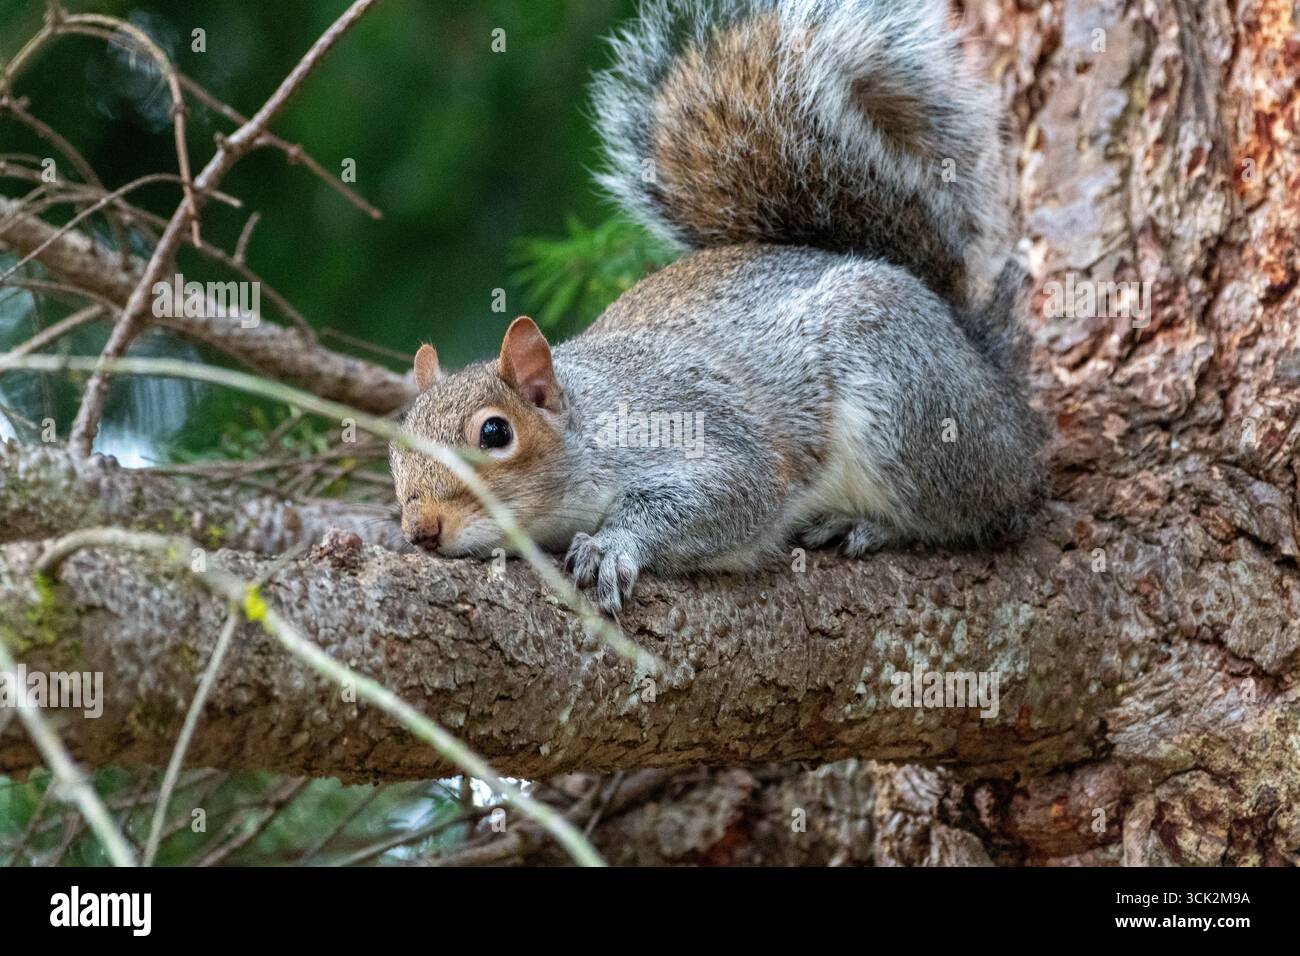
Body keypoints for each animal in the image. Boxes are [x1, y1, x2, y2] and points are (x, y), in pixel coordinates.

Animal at [390, 0, 1046, 614]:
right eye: (397, 443)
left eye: (495, 433)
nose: (420, 530)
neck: (590, 420)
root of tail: (989, 378)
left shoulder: (695, 434)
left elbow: (726, 494)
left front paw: (612, 545)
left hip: (906, 401)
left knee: (972, 513)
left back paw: (871, 522)